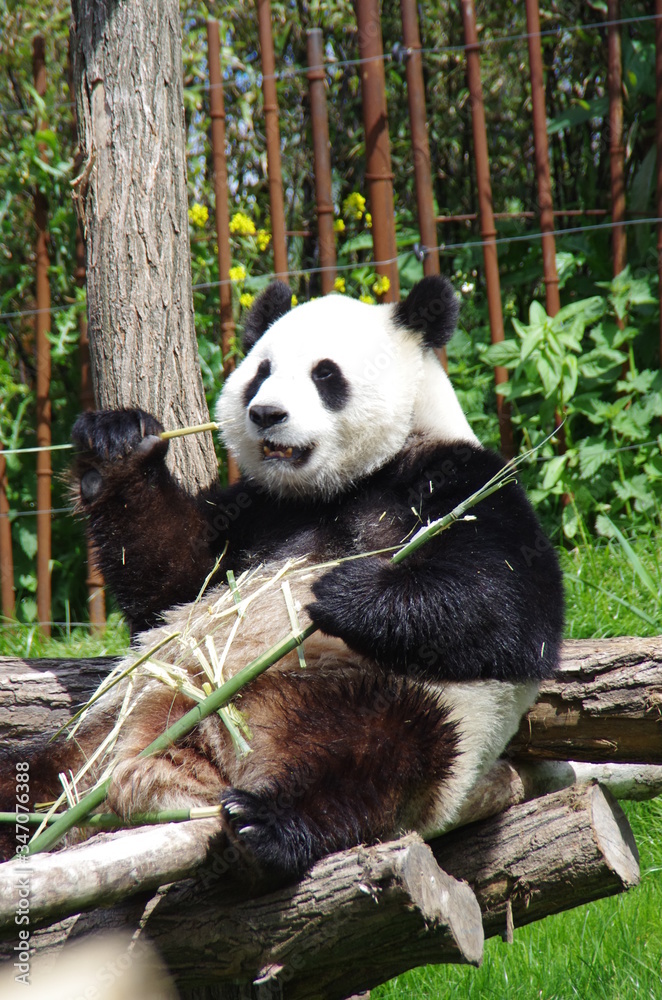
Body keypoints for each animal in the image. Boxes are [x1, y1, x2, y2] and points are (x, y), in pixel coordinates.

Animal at [11, 276, 564, 885]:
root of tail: (199, 753)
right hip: (104, 728)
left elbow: (512, 607)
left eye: (326, 374)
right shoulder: (256, 512)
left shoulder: (458, 478)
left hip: (393, 701)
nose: (267, 413)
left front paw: (344, 594)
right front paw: (115, 446)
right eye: (261, 371)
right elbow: (174, 581)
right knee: (37, 768)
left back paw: (266, 823)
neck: (337, 487)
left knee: (369, 757)